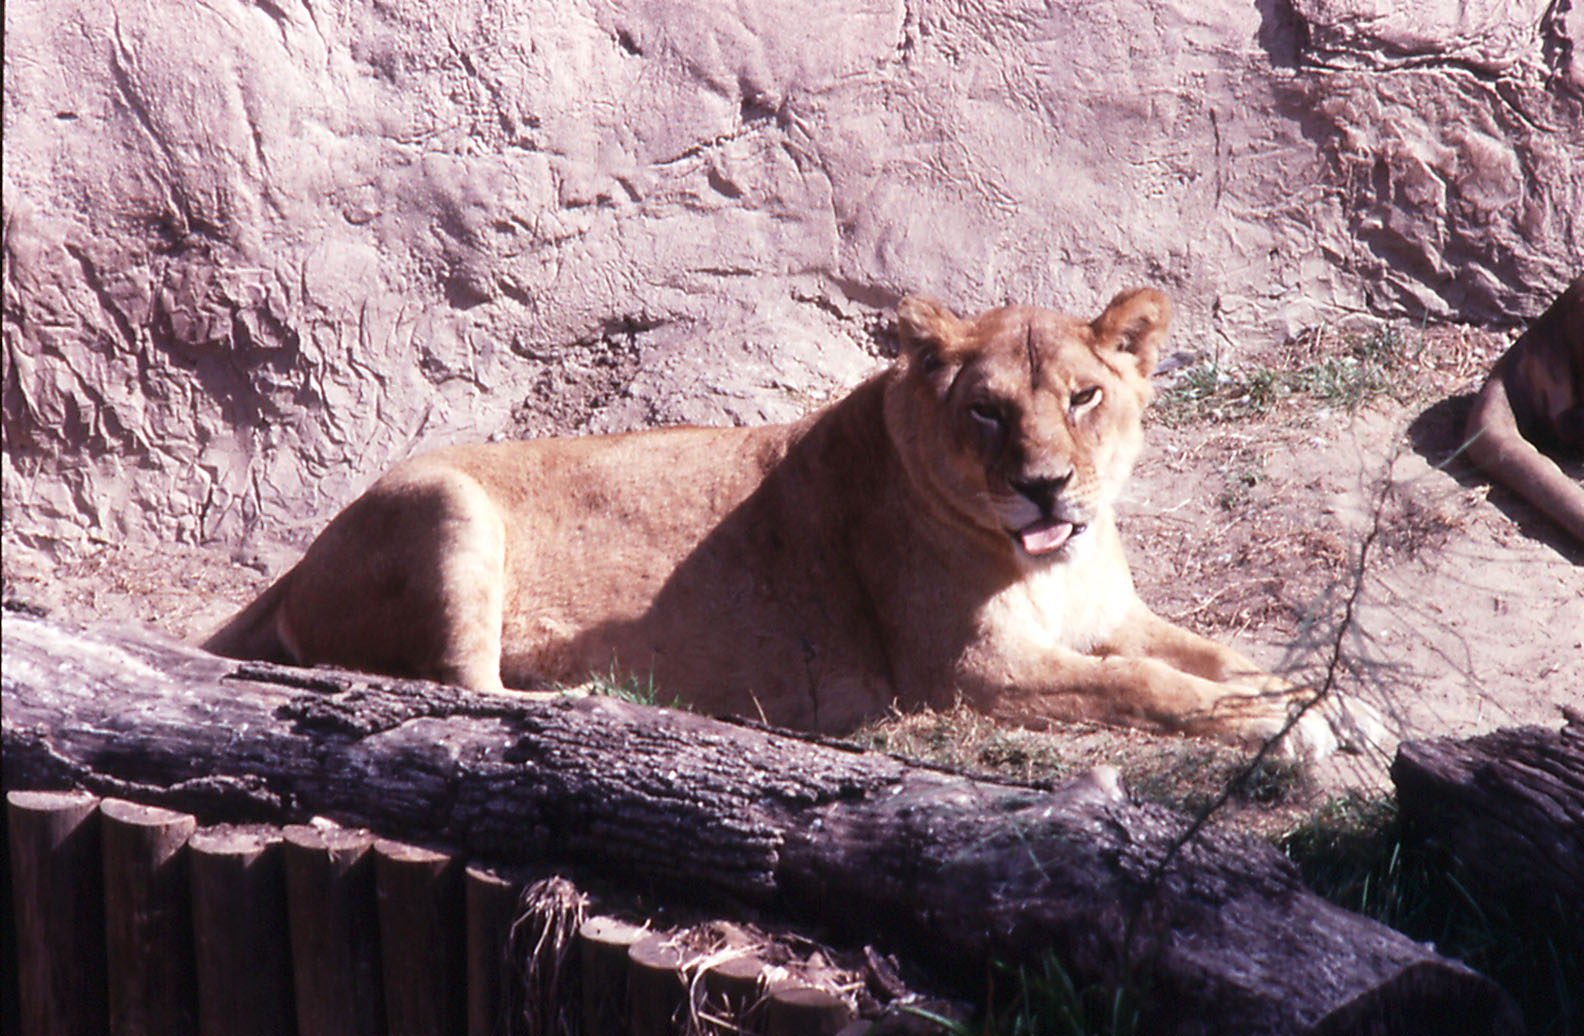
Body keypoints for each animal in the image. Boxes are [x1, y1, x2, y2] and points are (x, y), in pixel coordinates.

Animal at [204, 289, 1376, 757]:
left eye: (1085, 396)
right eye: (988, 411)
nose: (1046, 487)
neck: (1051, 560)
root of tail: (291, 570)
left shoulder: (1112, 617)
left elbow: (1222, 650)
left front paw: (1334, 704)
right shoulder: (963, 673)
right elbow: (1146, 685)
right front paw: (1277, 723)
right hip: (445, 501)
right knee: (460, 687)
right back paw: (602, 702)